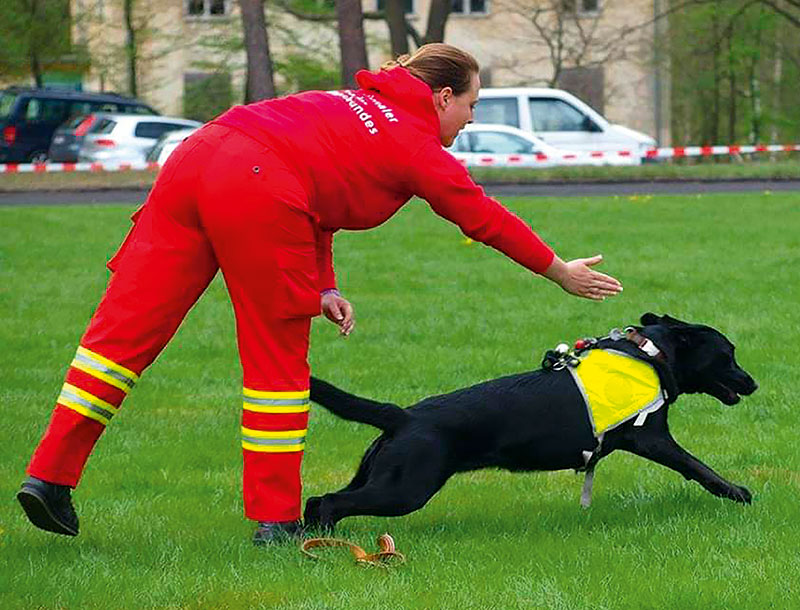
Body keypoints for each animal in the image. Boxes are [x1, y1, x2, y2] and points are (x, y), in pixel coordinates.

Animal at [304, 314, 756, 528]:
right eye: (729, 354)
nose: (752, 382)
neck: (650, 353)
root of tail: (403, 415)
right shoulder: (651, 438)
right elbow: (696, 465)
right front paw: (735, 491)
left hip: (378, 477)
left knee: (317, 500)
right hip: (404, 489)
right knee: (328, 502)